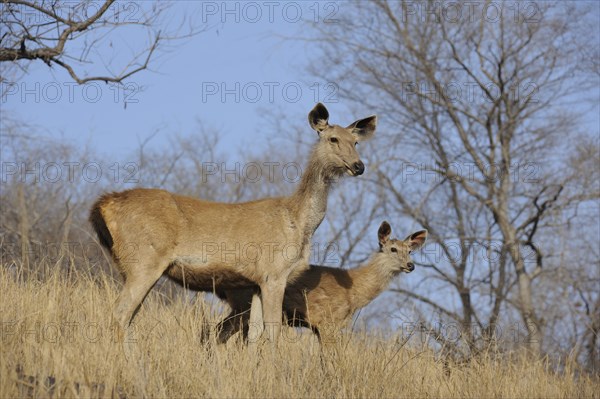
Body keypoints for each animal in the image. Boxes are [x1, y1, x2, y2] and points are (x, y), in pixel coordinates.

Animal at [89, 104, 376, 346]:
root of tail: (103, 205)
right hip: (144, 259)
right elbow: (273, 333)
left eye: (356, 141)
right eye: (333, 139)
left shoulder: (256, 281)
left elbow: (255, 334)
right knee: (120, 312)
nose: (359, 166)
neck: (299, 222)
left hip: (130, 265)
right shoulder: (274, 272)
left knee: (128, 315)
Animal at [209, 222, 428, 344]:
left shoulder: (318, 327)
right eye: (393, 249)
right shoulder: (328, 322)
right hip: (243, 304)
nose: (411, 265)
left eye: (410, 250)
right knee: (220, 332)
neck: (354, 293)